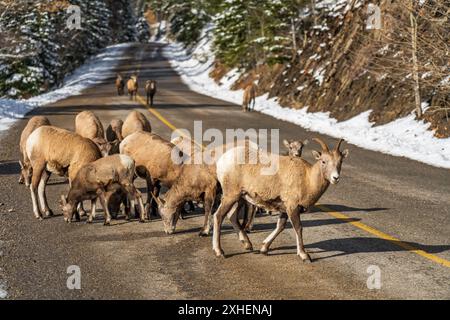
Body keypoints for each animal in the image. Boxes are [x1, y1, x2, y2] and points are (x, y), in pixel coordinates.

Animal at [213, 139, 350, 262]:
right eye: (323, 161)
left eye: (340, 161)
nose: (335, 178)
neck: (307, 179)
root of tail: (222, 160)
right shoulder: (292, 208)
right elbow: (298, 228)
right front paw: (304, 256)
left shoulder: (284, 209)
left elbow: (280, 227)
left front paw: (264, 249)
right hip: (231, 196)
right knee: (218, 216)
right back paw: (219, 252)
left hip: (240, 198)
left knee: (231, 216)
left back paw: (247, 244)